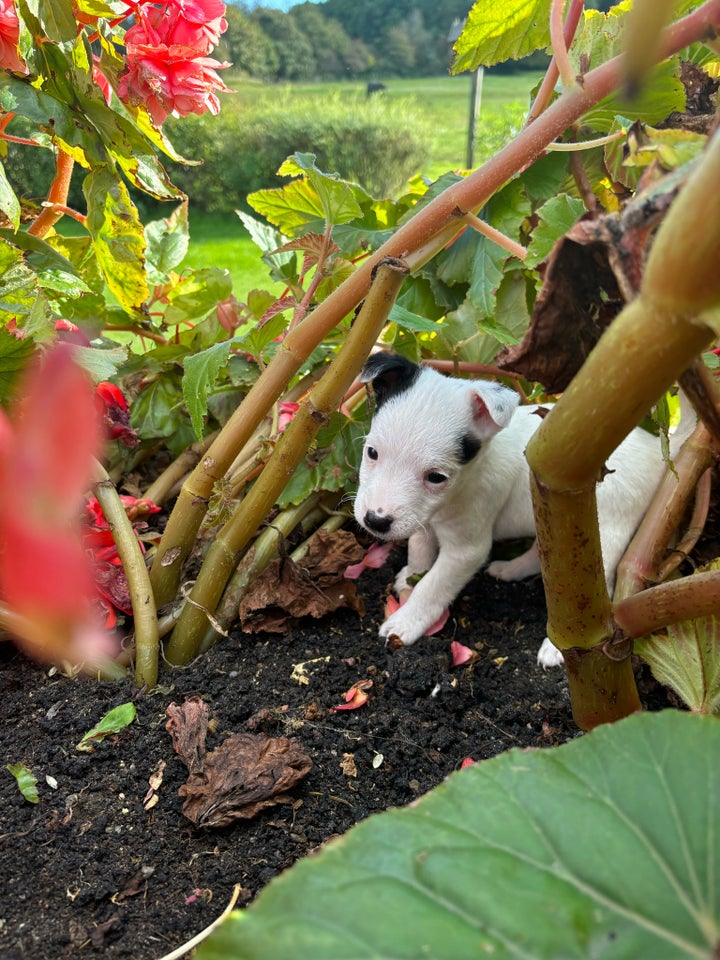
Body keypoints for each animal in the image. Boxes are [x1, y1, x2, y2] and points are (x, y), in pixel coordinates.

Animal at [356, 352, 692, 668]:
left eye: (436, 477)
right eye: (371, 452)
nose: (375, 521)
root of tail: (657, 449)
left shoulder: (467, 548)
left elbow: (433, 585)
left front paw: (405, 621)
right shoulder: (425, 519)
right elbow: (419, 546)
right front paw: (410, 576)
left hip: (603, 534)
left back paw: (557, 646)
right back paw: (510, 569)